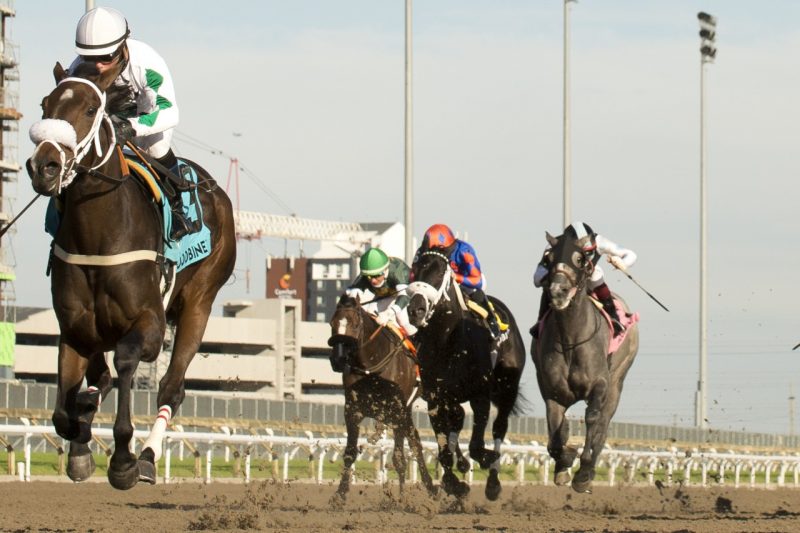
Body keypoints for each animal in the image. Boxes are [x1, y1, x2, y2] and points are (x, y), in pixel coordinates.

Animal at [25, 61, 236, 486]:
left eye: (91, 109)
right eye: (44, 105)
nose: (44, 166)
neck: (98, 235)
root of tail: (215, 190)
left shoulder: (149, 324)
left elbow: (124, 362)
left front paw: (123, 458)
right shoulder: (74, 329)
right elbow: (65, 412)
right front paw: (80, 445)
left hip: (200, 302)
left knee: (171, 389)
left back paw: (148, 458)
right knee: (101, 383)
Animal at [328, 296, 434, 498]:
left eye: (354, 324)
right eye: (332, 323)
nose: (338, 359)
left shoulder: (397, 409)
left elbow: (399, 457)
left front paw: (401, 499)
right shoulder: (352, 410)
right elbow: (350, 452)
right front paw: (340, 495)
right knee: (413, 441)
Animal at [406, 248, 524, 498]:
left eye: (439, 271)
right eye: (414, 270)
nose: (416, 310)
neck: (446, 340)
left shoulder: (480, 395)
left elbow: (477, 446)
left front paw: (485, 459)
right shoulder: (436, 398)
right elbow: (444, 448)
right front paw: (454, 483)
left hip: (508, 389)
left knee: (499, 427)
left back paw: (492, 482)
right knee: (458, 419)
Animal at [536, 231, 640, 492]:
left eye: (579, 259)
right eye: (548, 259)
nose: (558, 291)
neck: (571, 339)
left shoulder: (600, 385)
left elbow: (593, 419)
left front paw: (583, 471)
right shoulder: (552, 393)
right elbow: (555, 434)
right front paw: (565, 462)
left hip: (617, 382)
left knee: (602, 425)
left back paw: (589, 469)